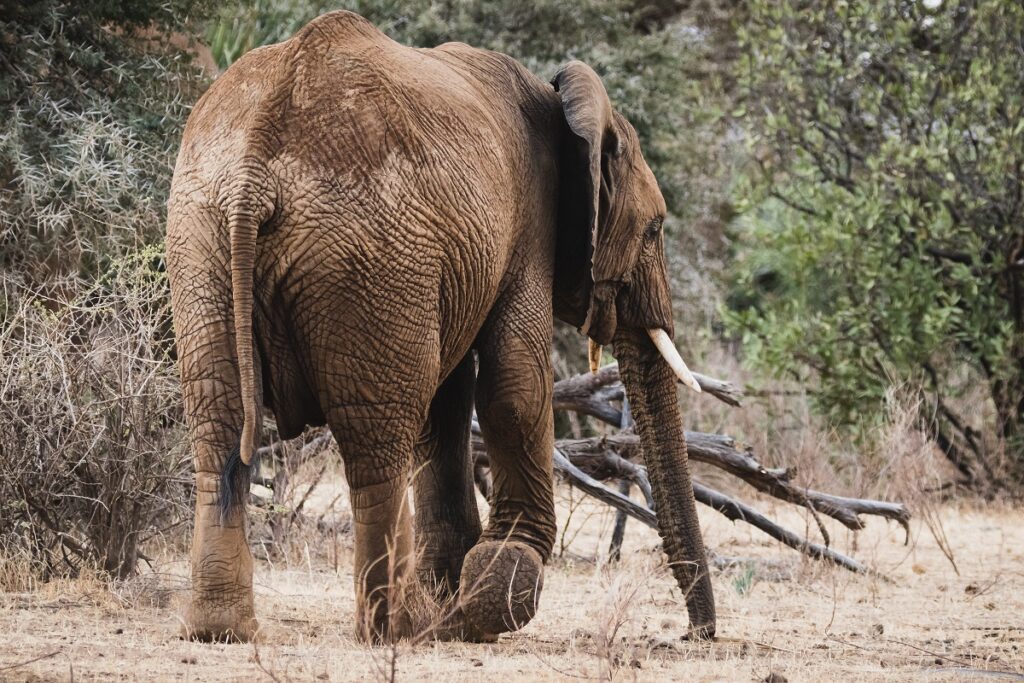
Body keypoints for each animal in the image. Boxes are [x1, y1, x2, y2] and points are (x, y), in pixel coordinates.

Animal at [165, 7, 712, 643]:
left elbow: (448, 409)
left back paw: (221, 629)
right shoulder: (528, 231)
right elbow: (515, 390)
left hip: (201, 243)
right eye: (655, 230)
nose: (692, 634)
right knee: (376, 444)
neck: (567, 108)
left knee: (220, 426)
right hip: (370, 260)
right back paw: (397, 628)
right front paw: (495, 590)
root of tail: (255, 165)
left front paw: (460, 602)